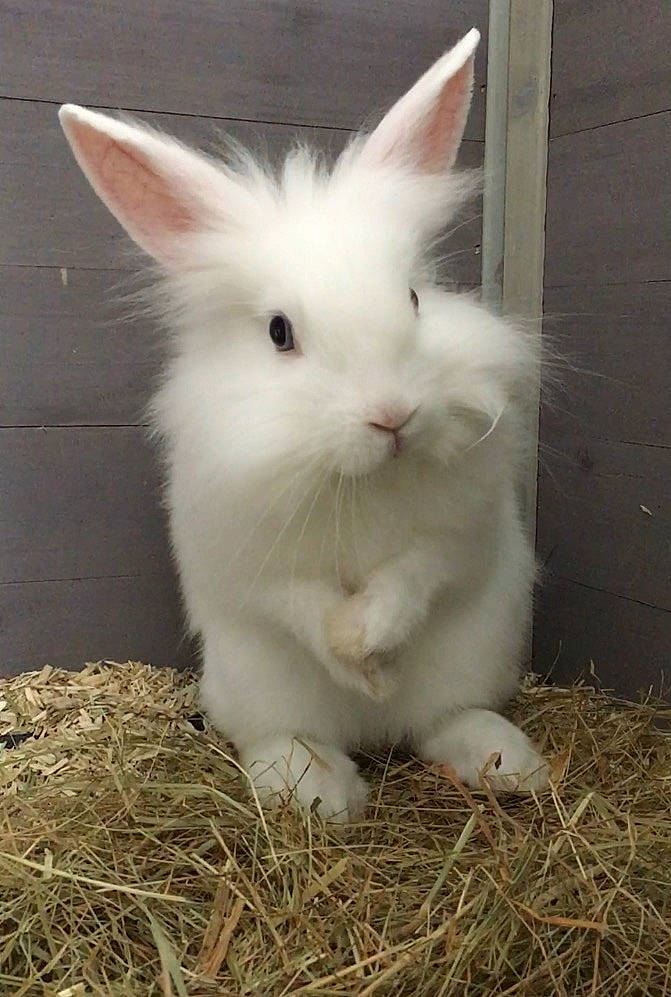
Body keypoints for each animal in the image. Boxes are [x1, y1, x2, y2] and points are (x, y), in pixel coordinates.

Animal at [58, 27, 548, 821]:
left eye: (415, 298)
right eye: (279, 332)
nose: (392, 416)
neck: (357, 476)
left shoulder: (462, 531)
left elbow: (417, 573)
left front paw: (371, 639)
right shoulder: (250, 559)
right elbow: (300, 605)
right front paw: (354, 655)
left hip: (478, 650)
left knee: (439, 719)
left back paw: (503, 760)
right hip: (250, 682)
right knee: (282, 733)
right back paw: (320, 788)